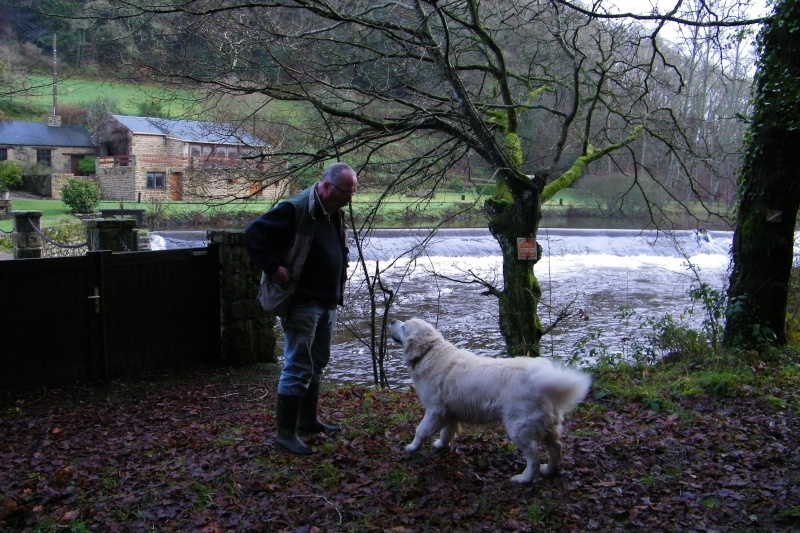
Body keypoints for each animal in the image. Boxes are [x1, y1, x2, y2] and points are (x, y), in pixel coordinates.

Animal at [390, 318, 592, 484]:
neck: (429, 352)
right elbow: (446, 432)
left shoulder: (434, 410)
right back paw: (550, 470)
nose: (392, 321)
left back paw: (524, 478)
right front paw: (441, 445)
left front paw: (411, 447)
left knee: (534, 457)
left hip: (519, 426)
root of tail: (541, 377)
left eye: (404, 326)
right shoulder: (449, 411)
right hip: (547, 425)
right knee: (556, 448)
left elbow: (420, 430)